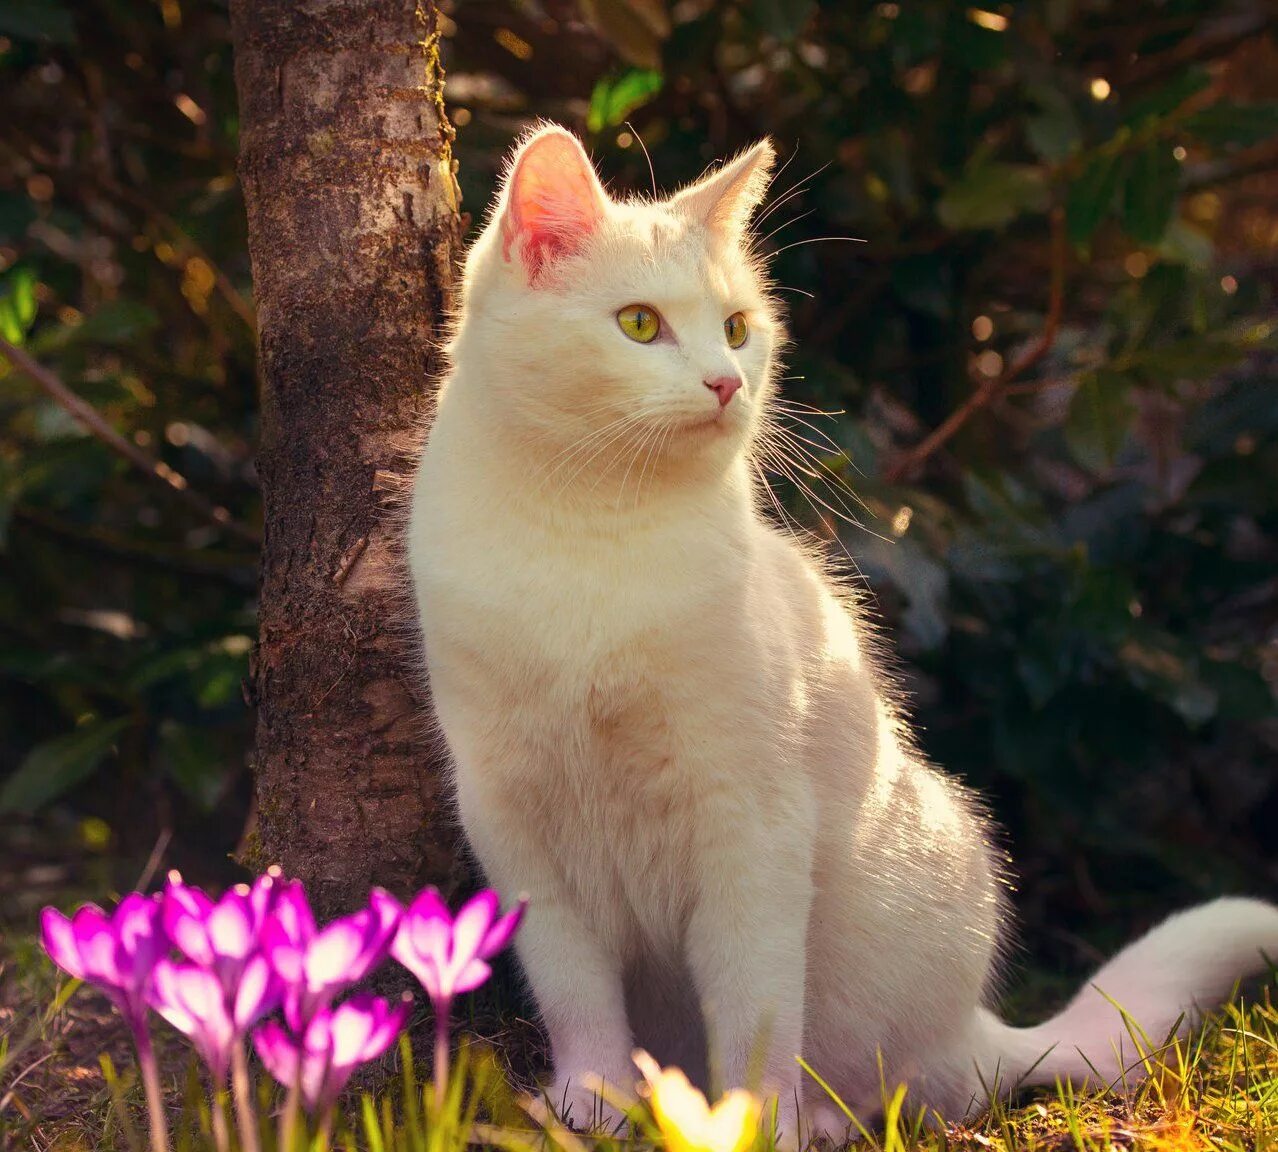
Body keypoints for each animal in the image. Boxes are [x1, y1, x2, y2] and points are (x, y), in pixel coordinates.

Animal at [408, 123, 1278, 1130]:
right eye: (639, 325)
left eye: (738, 327)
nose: (726, 383)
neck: (590, 536)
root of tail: (980, 1026)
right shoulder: (519, 829)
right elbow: (575, 997)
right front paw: (591, 1105)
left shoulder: (751, 823)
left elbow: (753, 1007)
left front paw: (750, 1125)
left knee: (907, 1085)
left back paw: (822, 1118)